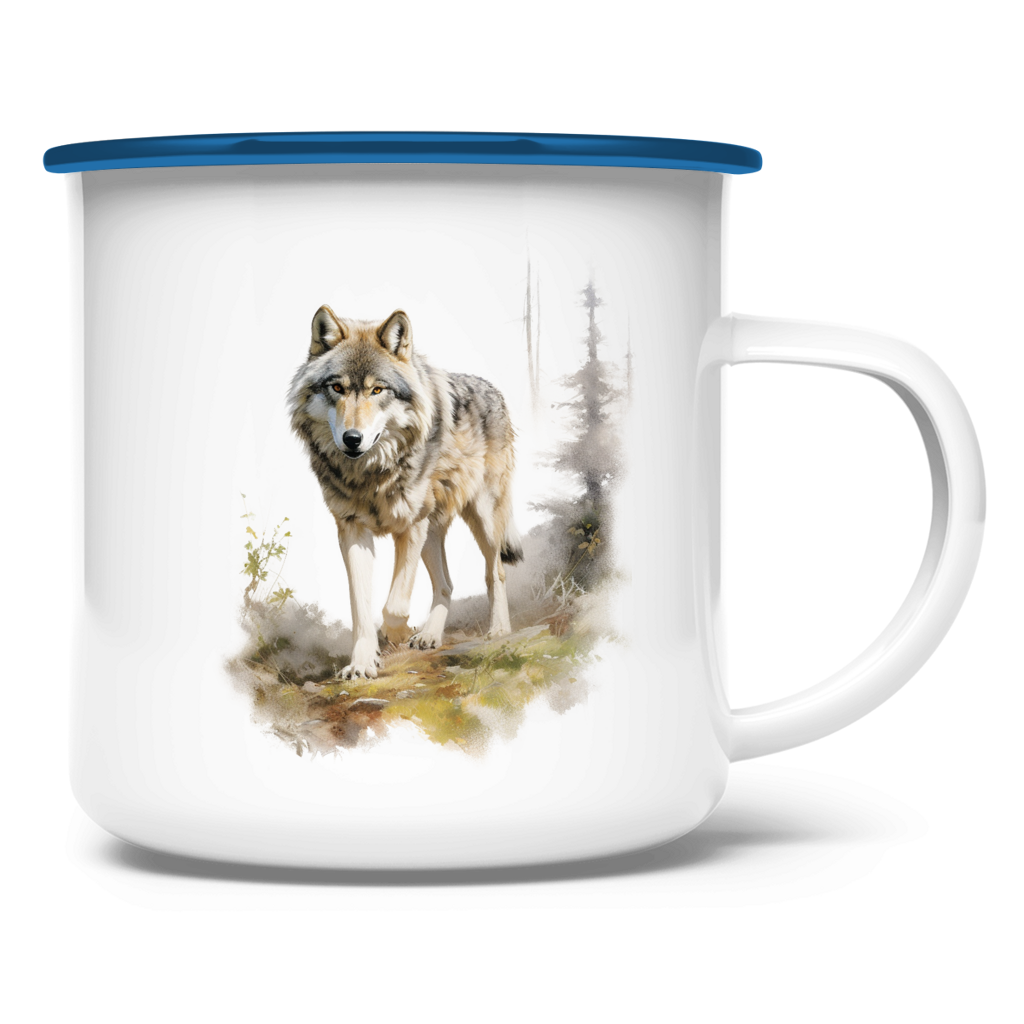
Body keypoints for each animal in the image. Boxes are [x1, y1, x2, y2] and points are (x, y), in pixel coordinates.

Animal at [283, 304, 525, 679]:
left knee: (494, 572)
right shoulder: (353, 530)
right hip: (432, 533)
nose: (352, 439)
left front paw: (394, 633)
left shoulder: (409, 526)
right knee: (447, 585)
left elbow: (394, 606)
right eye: (337, 387)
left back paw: (498, 630)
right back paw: (429, 636)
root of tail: (496, 389)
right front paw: (362, 662)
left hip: (479, 520)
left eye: (377, 391)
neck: (370, 475)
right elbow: (361, 608)